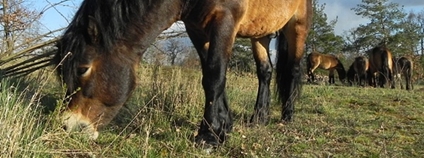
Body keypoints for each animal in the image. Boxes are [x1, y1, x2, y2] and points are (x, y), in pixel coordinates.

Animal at [52, 0, 312, 146]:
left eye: (82, 69)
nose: (68, 125)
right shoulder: (196, 28)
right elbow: (210, 74)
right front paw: (223, 126)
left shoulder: (225, 20)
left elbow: (215, 75)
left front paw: (208, 137)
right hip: (261, 32)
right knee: (264, 72)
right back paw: (259, 117)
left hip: (297, 26)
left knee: (293, 70)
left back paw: (287, 115)